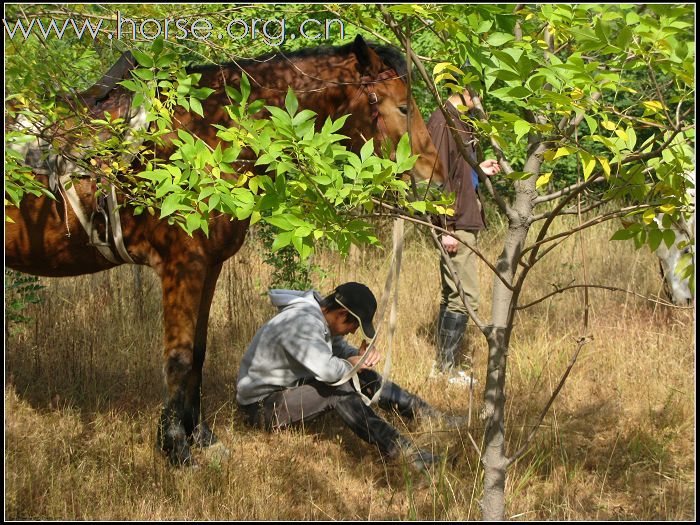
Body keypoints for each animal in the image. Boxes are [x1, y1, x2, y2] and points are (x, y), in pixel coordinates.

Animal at [4, 34, 442, 464]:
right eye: (403, 106)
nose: (432, 176)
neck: (199, 138)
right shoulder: (182, 267)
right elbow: (179, 358)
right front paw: (177, 449)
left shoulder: (208, 268)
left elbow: (197, 353)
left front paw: (199, 437)